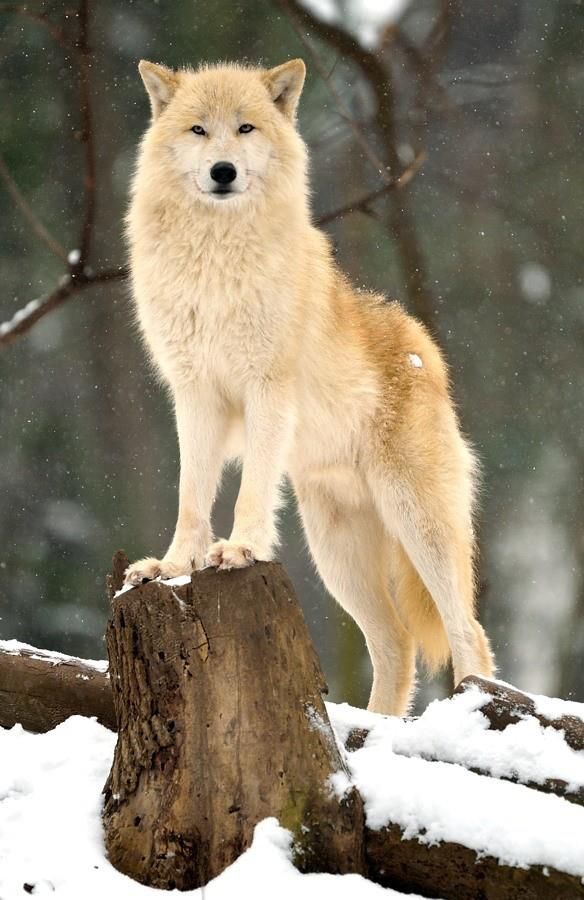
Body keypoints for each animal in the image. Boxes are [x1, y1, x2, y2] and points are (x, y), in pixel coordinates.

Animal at [123, 57, 494, 714]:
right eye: (198, 130)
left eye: (245, 128)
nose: (224, 171)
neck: (216, 261)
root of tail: (425, 348)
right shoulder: (194, 396)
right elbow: (191, 496)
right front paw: (172, 565)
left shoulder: (266, 389)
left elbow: (248, 491)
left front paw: (239, 550)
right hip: (336, 553)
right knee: (396, 645)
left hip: (417, 525)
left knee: (467, 633)